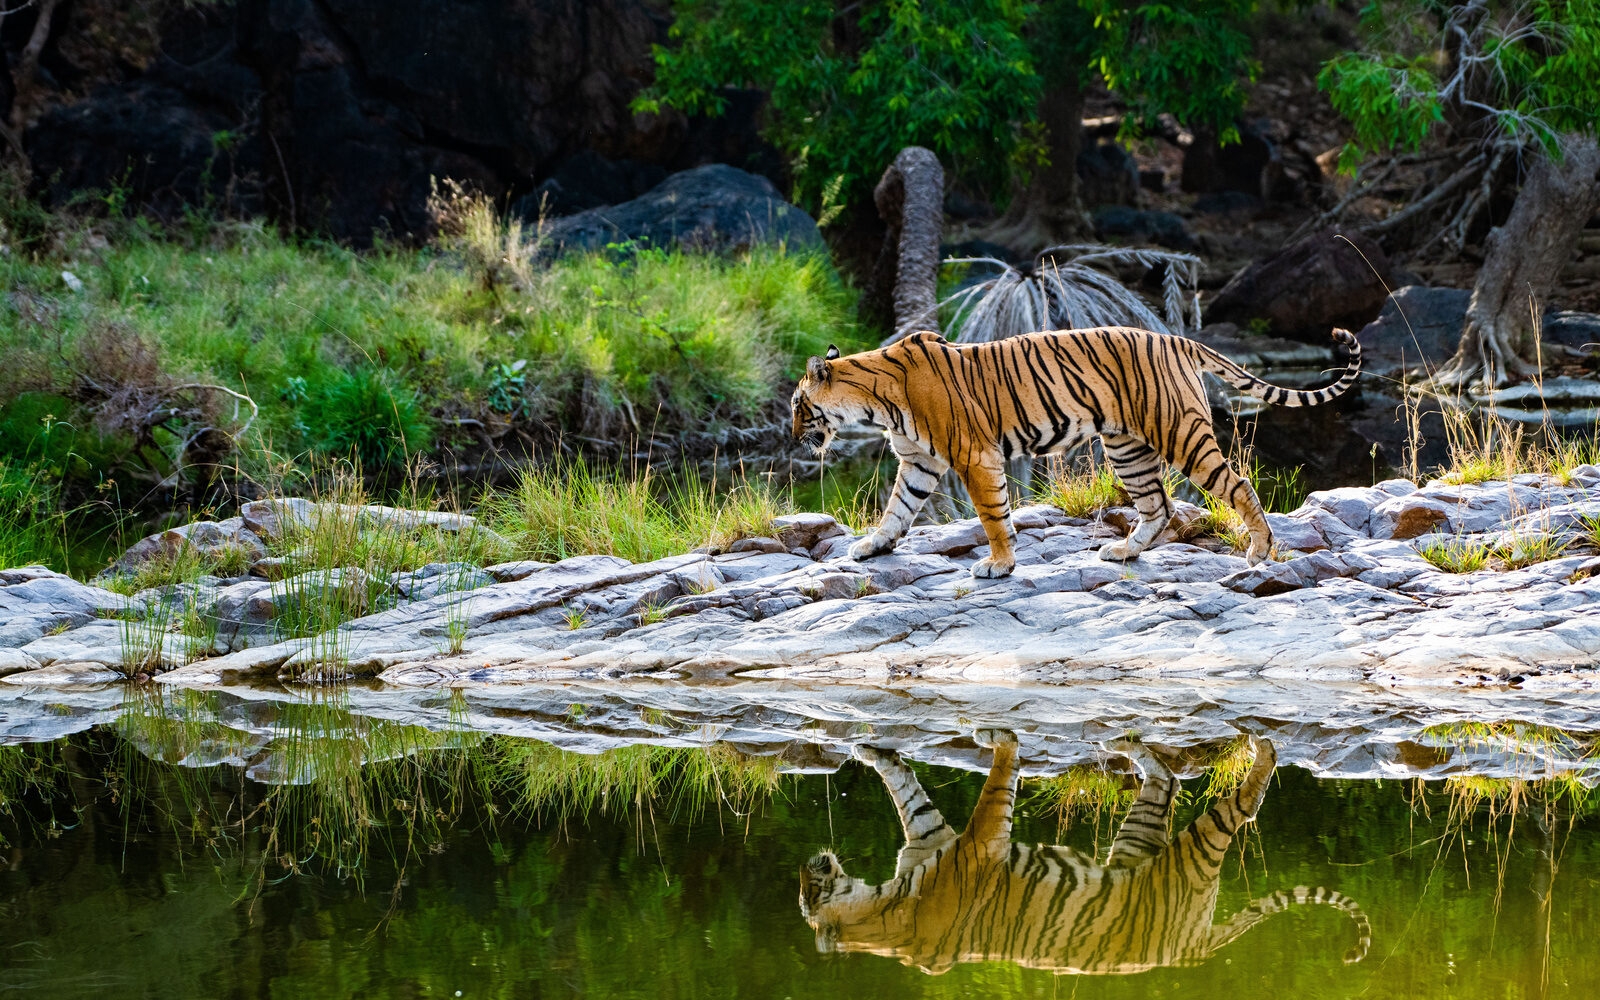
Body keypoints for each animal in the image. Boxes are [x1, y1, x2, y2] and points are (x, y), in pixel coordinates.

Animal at [790, 326, 1361, 578]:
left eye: (798, 404)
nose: (791, 434)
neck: (874, 402)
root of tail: (1178, 338)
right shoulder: (919, 462)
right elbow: (897, 510)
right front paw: (871, 547)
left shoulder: (974, 456)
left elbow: (993, 515)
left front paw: (999, 564)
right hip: (1127, 446)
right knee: (1159, 506)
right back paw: (1124, 552)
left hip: (1180, 432)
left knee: (1237, 485)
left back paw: (1259, 552)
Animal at [798, 731, 1371, 976]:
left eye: (806, 891)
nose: (809, 864)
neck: (881, 906)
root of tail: (1193, 951)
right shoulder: (944, 839)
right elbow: (912, 789)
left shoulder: (968, 842)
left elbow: (974, 786)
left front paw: (996, 735)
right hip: (1150, 846)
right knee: (1172, 781)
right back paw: (1137, 740)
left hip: (1182, 849)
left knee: (1226, 798)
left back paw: (1256, 744)